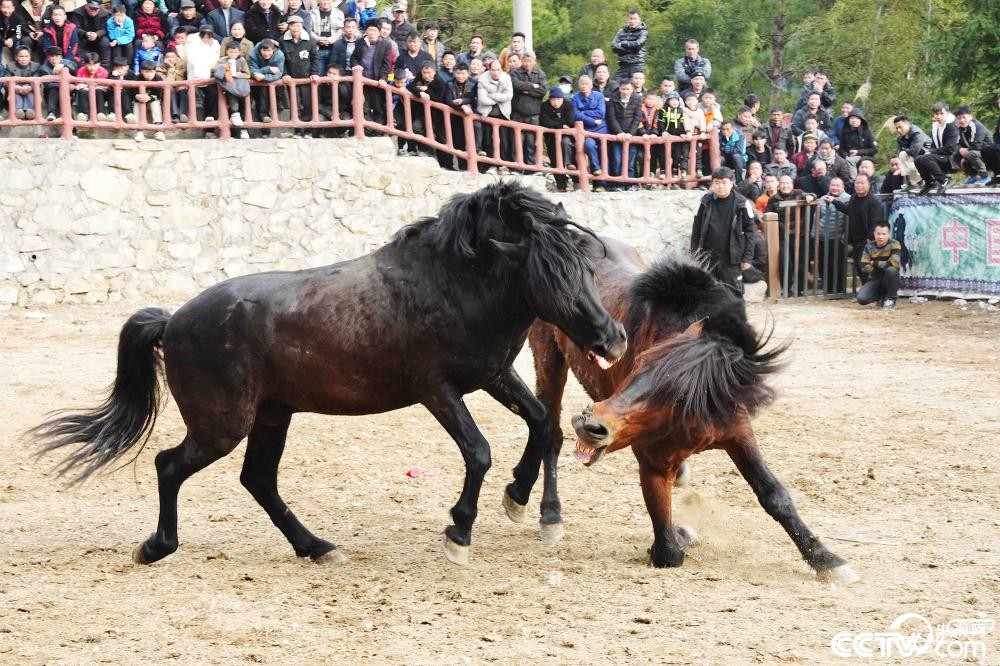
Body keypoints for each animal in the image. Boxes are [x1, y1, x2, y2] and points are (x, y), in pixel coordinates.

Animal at [31, 182, 624, 564]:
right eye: (549, 271)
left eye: (585, 266)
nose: (611, 338)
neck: (450, 284)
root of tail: (172, 319)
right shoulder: (437, 390)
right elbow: (478, 451)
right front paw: (458, 532)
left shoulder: (493, 377)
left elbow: (542, 423)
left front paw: (525, 505)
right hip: (223, 425)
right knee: (169, 465)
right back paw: (156, 547)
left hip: (272, 416)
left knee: (257, 480)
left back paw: (316, 548)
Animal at [516, 237, 860, 580]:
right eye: (638, 363)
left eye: (677, 394)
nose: (591, 426)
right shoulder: (653, 463)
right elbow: (668, 548)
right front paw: (679, 535)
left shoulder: (739, 433)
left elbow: (774, 495)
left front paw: (826, 559)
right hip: (549, 362)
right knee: (552, 434)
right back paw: (550, 516)